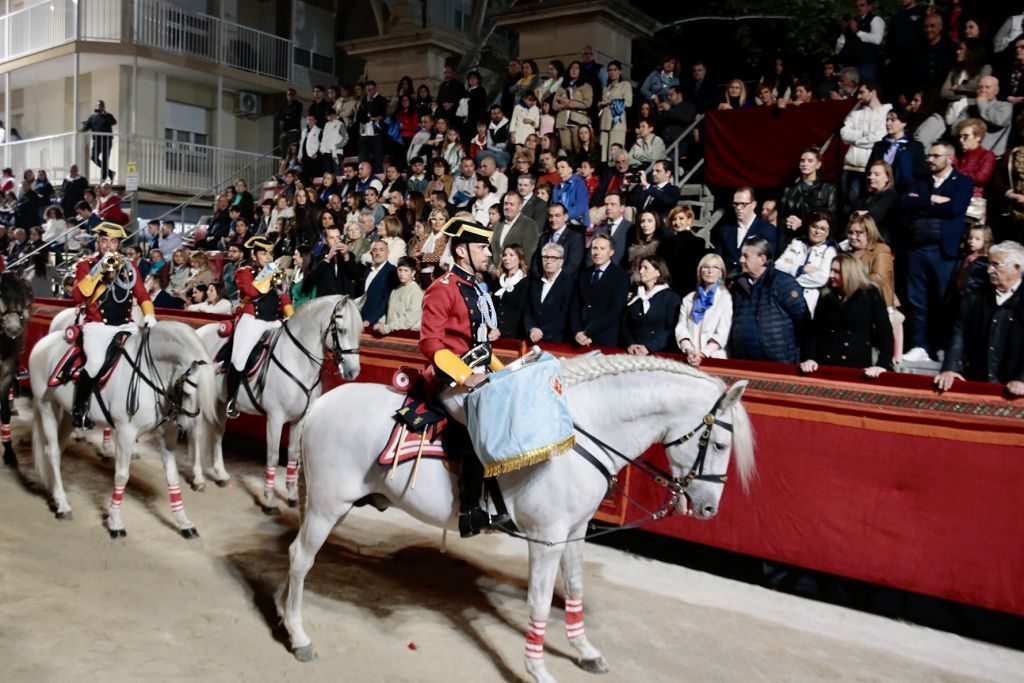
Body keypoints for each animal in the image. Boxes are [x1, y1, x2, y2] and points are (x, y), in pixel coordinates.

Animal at [29, 321, 219, 540]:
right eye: (187, 392)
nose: (185, 426)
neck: (150, 371)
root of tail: (42, 343)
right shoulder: (125, 432)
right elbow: (121, 475)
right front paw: (115, 522)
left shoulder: (167, 435)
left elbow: (172, 475)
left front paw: (184, 522)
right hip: (46, 406)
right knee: (52, 452)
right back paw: (63, 506)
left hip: (68, 413)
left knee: (58, 451)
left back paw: (56, 495)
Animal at [196, 294, 364, 511]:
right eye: (342, 330)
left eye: (360, 331)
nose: (353, 372)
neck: (297, 360)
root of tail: (199, 331)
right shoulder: (275, 418)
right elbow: (273, 456)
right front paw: (268, 500)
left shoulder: (299, 419)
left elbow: (292, 455)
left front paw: (291, 495)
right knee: (197, 435)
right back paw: (198, 479)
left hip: (220, 402)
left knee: (217, 433)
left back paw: (221, 474)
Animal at [276, 356, 757, 679]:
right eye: (719, 445)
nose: (709, 508)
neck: (578, 434)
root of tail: (323, 404)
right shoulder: (547, 537)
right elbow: (539, 601)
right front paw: (537, 667)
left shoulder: (574, 533)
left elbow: (575, 588)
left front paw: (584, 649)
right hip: (328, 504)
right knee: (301, 557)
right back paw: (298, 636)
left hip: (332, 505)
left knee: (297, 553)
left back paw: (283, 611)